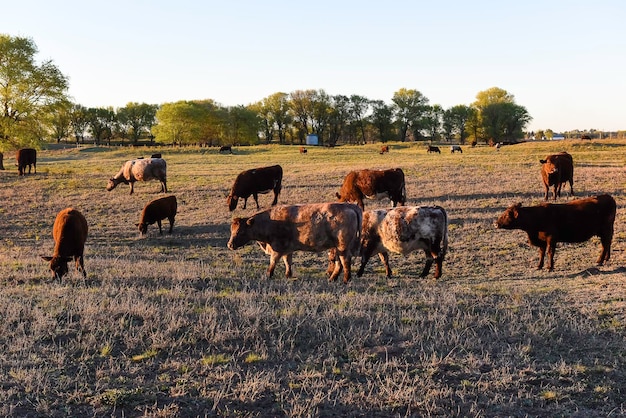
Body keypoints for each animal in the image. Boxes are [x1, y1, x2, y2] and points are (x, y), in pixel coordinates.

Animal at [227, 203, 360, 284]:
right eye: (231, 230)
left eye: (240, 231)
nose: (230, 245)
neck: (270, 221)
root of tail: (349, 206)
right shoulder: (287, 249)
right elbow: (288, 262)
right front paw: (288, 275)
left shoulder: (277, 248)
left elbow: (273, 262)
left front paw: (268, 275)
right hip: (337, 247)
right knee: (339, 263)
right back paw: (333, 278)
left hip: (342, 247)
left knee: (345, 261)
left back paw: (345, 280)